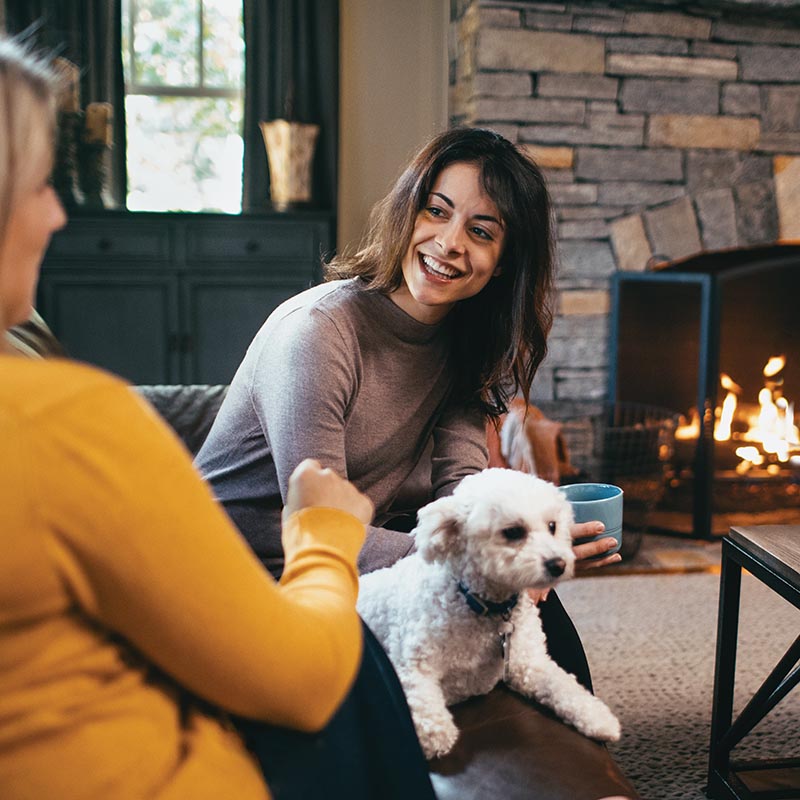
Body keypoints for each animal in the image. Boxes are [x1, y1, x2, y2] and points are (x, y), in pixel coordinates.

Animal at [358, 466, 624, 760]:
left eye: (552, 526)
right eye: (513, 532)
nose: (558, 564)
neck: (485, 607)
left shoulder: (528, 664)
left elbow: (564, 686)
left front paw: (599, 718)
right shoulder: (413, 665)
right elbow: (422, 699)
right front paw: (435, 734)